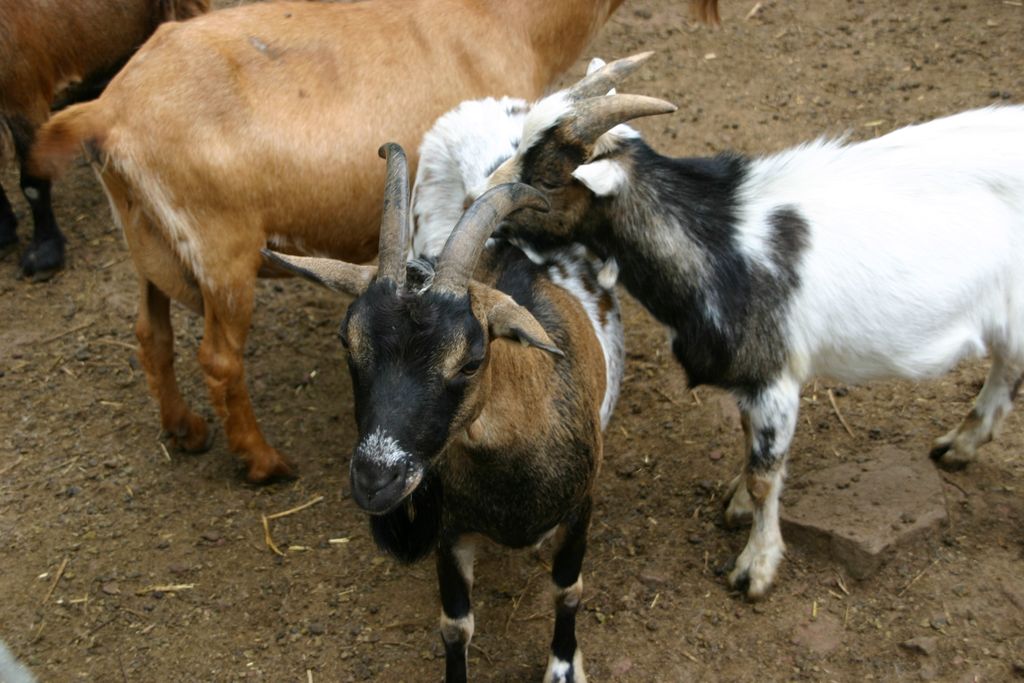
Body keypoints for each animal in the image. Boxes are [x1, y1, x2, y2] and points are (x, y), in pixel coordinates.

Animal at [29, 0, 720, 483]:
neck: (504, 17)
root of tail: (104, 112)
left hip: (148, 246)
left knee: (151, 333)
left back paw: (184, 429)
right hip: (221, 256)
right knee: (219, 360)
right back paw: (262, 462)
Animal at [264, 141, 622, 679]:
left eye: (471, 361)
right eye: (347, 340)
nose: (375, 480)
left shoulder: (581, 507)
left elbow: (568, 590)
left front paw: (562, 665)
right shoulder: (450, 531)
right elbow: (455, 626)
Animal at [475, 53, 1024, 602]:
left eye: (549, 178)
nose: (480, 204)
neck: (720, 241)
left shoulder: (774, 378)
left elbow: (766, 475)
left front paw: (756, 566)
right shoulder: (748, 383)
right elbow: (748, 442)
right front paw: (737, 501)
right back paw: (960, 445)